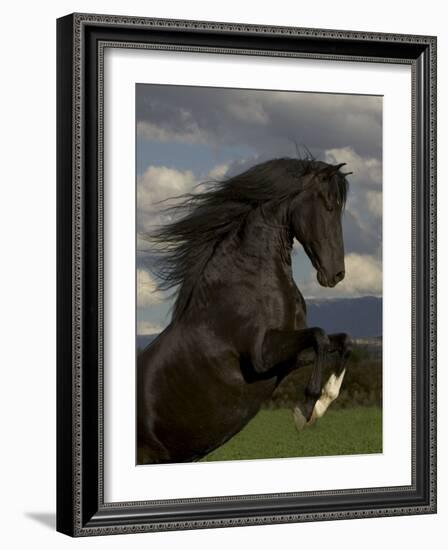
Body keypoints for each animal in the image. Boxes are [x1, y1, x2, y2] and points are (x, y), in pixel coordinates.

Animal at [136, 158, 354, 466]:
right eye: (328, 205)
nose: (336, 274)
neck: (249, 280)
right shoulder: (261, 357)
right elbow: (320, 336)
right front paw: (305, 412)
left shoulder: (291, 356)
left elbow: (342, 341)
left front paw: (320, 406)